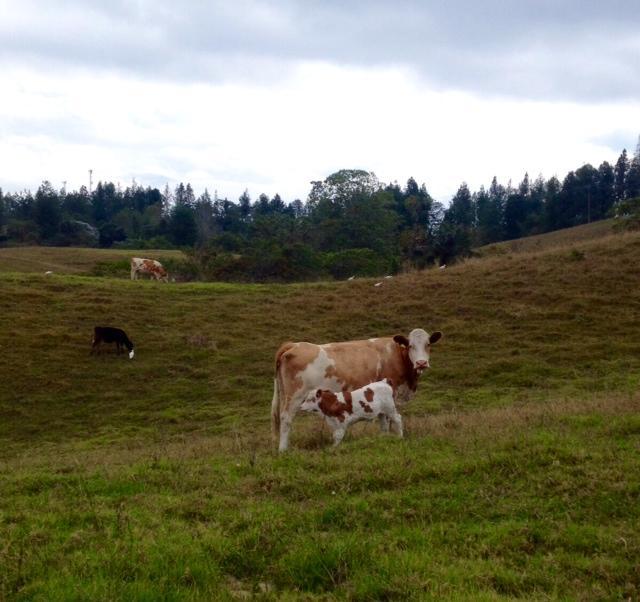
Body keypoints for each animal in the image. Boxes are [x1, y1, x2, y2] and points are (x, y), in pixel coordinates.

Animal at [270, 328, 440, 450]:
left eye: (428, 345)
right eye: (410, 345)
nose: (421, 363)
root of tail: (294, 344)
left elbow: (383, 420)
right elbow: (387, 420)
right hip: (295, 395)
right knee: (286, 419)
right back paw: (283, 450)